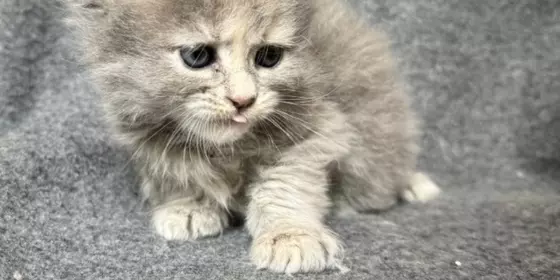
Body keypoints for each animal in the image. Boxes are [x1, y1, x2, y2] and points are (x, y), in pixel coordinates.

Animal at [66, 0, 442, 274]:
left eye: (269, 56)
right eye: (197, 55)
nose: (243, 100)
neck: (227, 147)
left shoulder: (317, 129)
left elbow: (284, 186)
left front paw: (290, 236)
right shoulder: (152, 134)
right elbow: (181, 170)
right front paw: (189, 206)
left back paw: (413, 185)